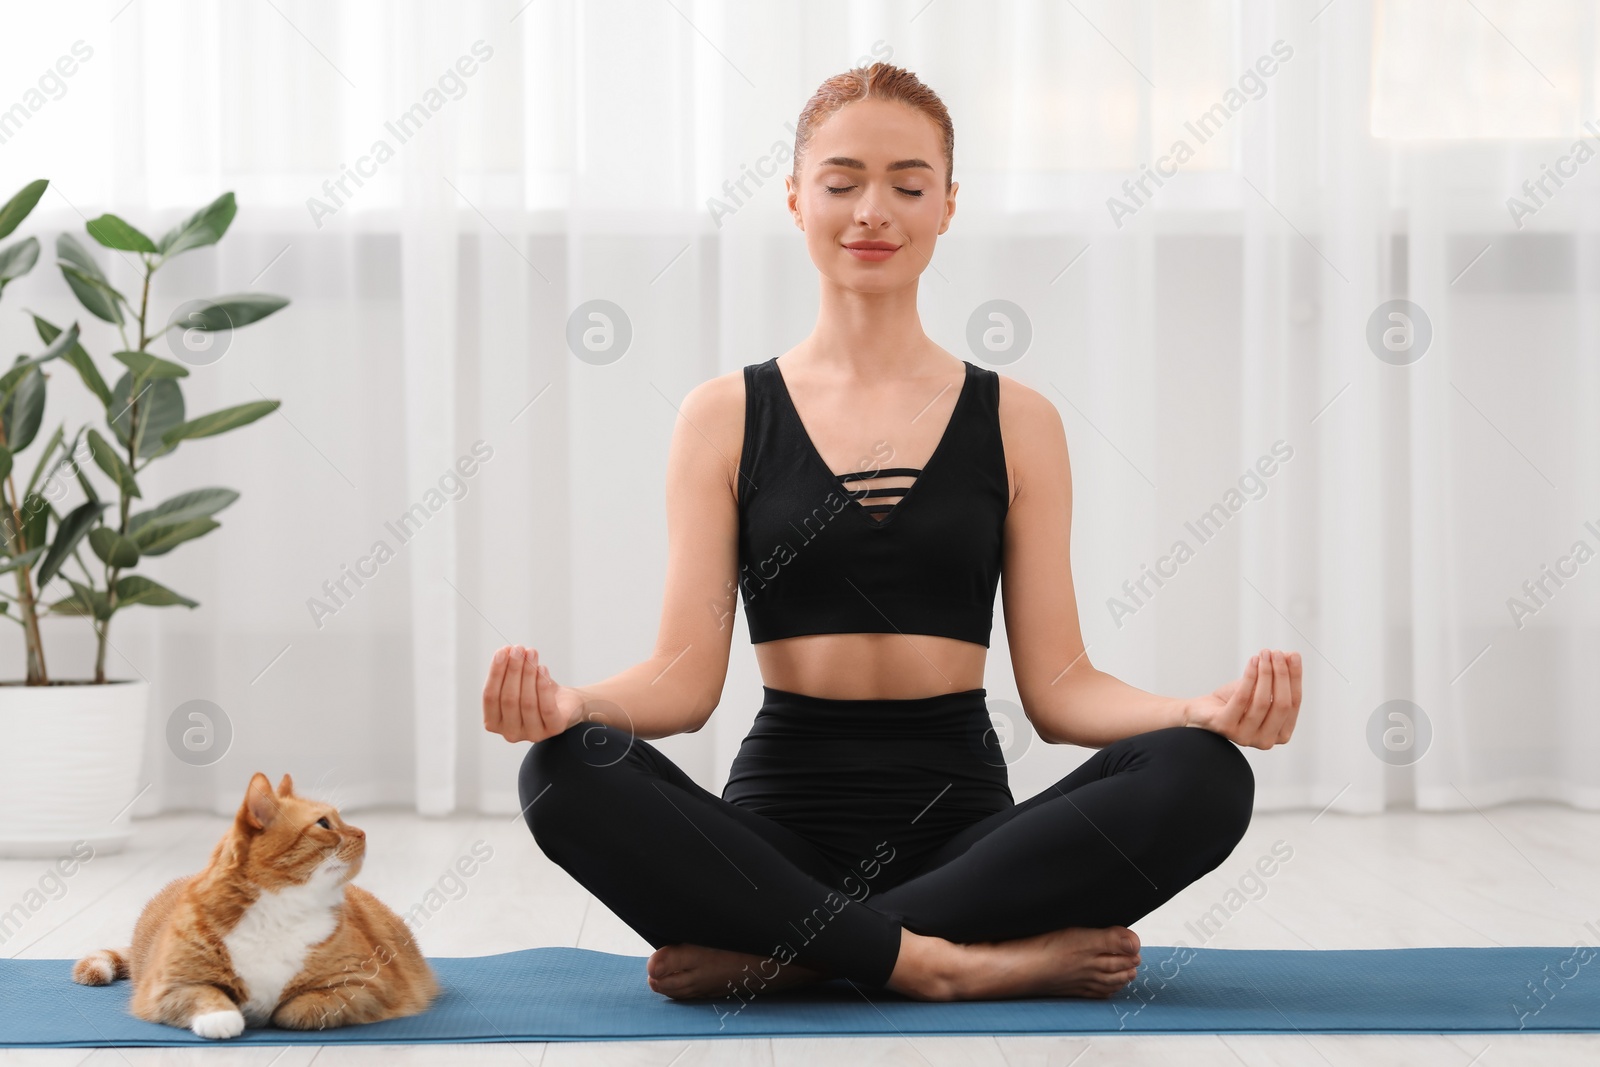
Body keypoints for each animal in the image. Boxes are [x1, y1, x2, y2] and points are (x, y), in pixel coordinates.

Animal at [73, 771, 438, 1036]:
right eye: (324, 823)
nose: (362, 832)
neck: (278, 914)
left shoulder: (368, 985)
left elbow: (294, 1008)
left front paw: (270, 1011)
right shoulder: (166, 987)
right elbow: (205, 994)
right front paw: (223, 1017)